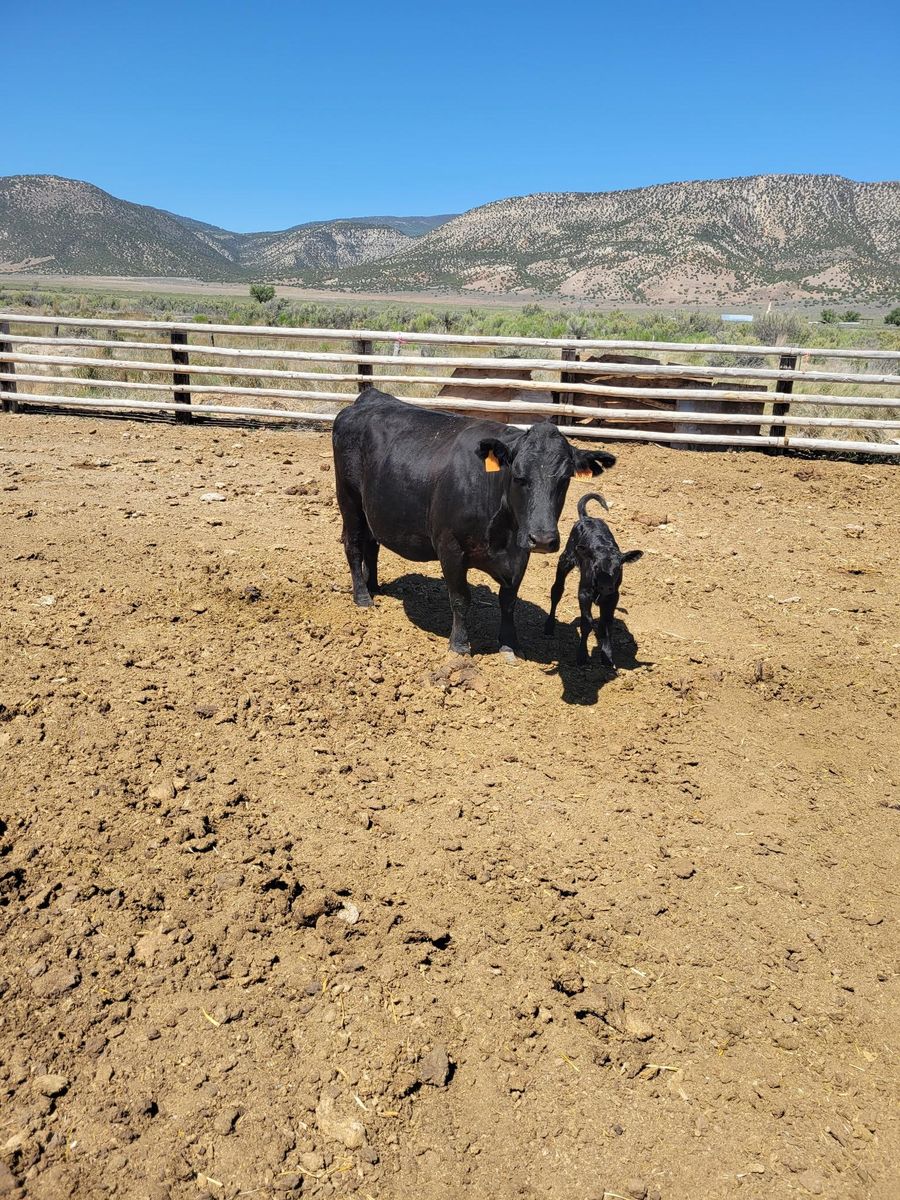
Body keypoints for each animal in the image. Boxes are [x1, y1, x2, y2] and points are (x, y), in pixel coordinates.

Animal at [332, 386, 616, 657]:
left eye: (565, 479)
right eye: (518, 476)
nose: (543, 539)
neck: (503, 536)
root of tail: (370, 397)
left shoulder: (519, 554)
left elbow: (509, 600)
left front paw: (510, 644)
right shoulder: (450, 547)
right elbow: (460, 598)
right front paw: (459, 645)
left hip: (372, 510)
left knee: (371, 545)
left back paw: (374, 586)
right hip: (349, 499)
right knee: (353, 544)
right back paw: (363, 596)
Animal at [544, 492, 643, 668]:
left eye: (618, 568)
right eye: (596, 567)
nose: (605, 587)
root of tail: (587, 518)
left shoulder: (614, 596)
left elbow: (607, 623)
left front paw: (607, 656)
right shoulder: (584, 593)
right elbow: (587, 622)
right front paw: (582, 655)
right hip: (566, 559)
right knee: (557, 590)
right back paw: (549, 626)